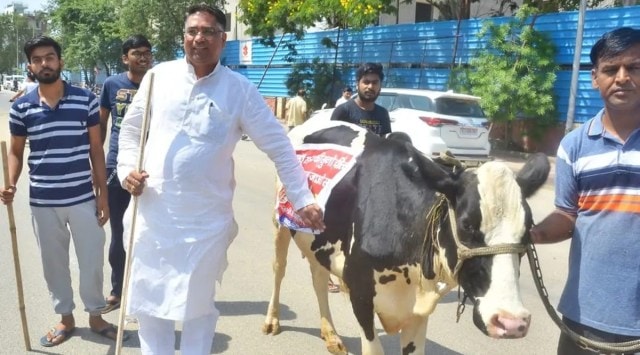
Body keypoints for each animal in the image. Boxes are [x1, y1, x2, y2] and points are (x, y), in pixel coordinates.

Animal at [262, 121, 548, 354]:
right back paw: (272, 320)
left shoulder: (417, 311)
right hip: (280, 222)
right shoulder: (361, 295)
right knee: (279, 268)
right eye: (466, 224)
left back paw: (330, 334)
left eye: (528, 228)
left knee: (319, 278)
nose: (511, 321)